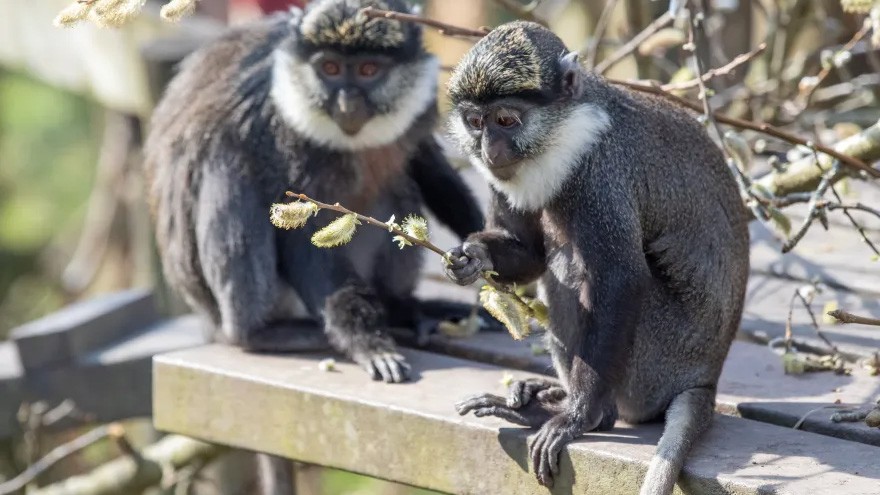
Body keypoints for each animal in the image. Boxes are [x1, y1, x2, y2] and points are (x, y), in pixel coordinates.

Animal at [143, 0, 486, 385]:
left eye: (368, 69)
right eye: (330, 68)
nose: (348, 102)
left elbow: (425, 163)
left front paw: (483, 254)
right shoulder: (280, 132)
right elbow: (302, 237)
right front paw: (367, 342)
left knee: (399, 188)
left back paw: (400, 307)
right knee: (227, 161)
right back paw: (260, 333)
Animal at [442, 21, 750, 495]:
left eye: (506, 120)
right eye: (476, 122)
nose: (491, 151)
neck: (564, 134)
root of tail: (705, 378)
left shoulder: (599, 176)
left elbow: (619, 278)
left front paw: (579, 416)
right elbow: (529, 253)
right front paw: (470, 258)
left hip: (654, 366)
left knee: (571, 268)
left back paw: (588, 413)